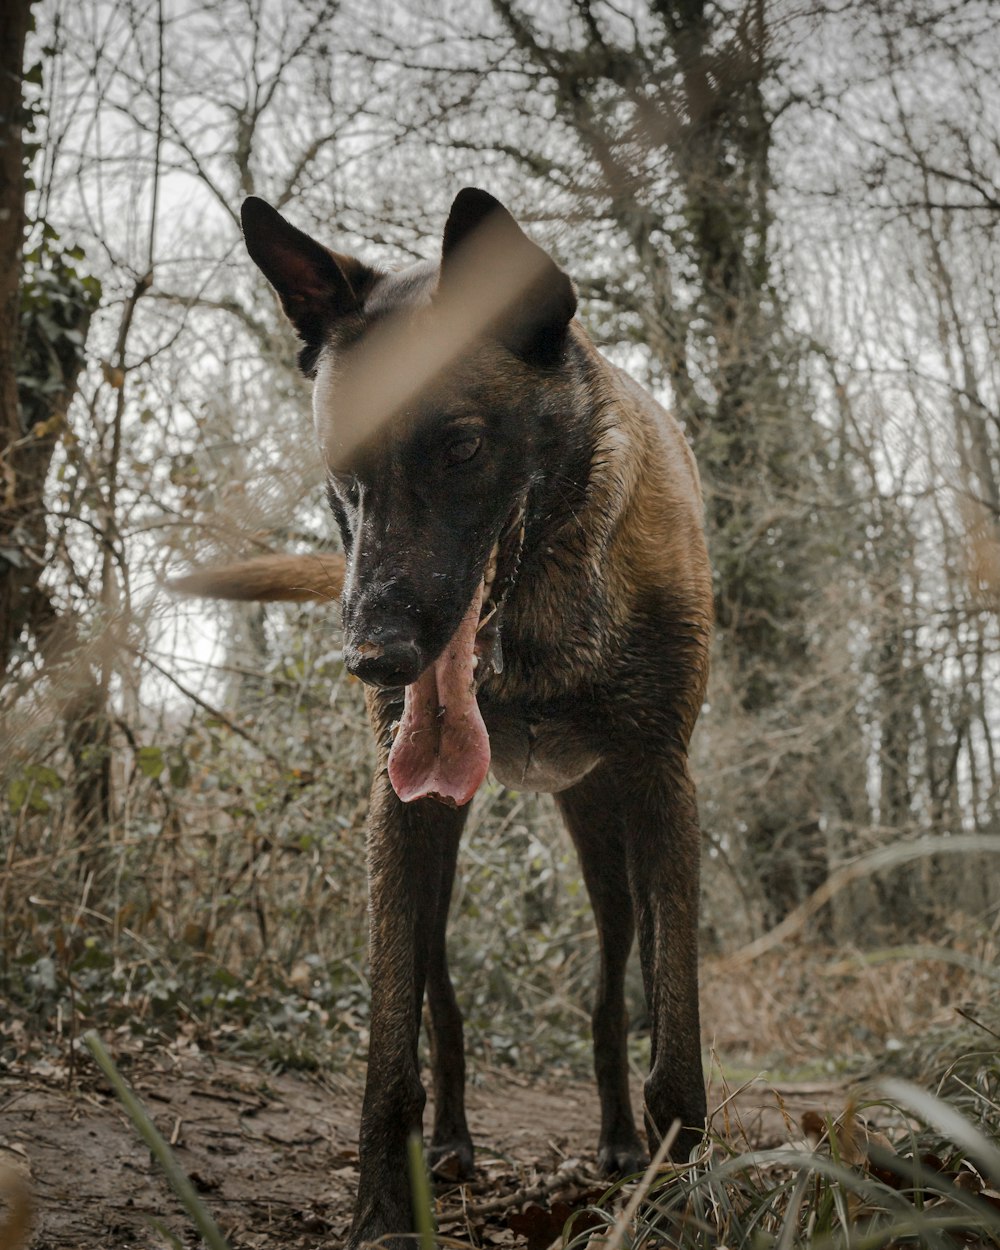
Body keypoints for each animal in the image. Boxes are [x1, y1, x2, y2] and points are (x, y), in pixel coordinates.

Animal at [176, 190, 715, 1245]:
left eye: (462, 447)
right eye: (340, 468)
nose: (375, 657)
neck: (541, 606)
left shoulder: (664, 788)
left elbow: (675, 1039)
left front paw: (677, 1200)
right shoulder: (399, 811)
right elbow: (390, 1047)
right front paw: (383, 1211)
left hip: (605, 849)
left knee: (608, 992)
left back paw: (619, 1142)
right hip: (431, 850)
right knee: (440, 996)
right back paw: (456, 1144)